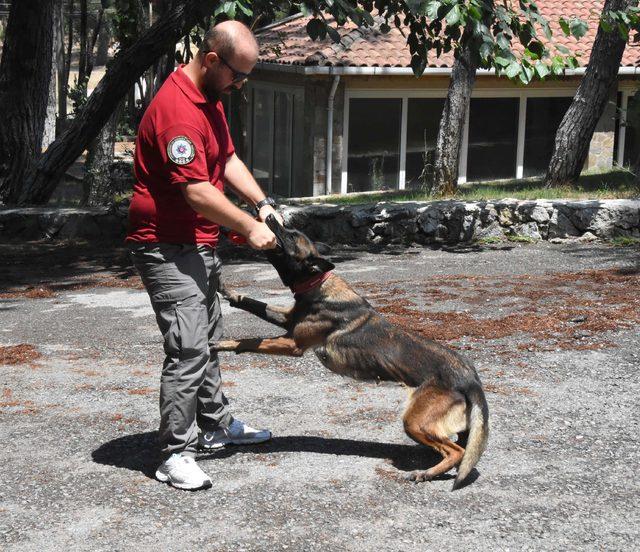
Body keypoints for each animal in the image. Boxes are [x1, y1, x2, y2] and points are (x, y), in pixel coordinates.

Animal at [212, 213, 488, 490]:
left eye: (290, 236)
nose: (268, 214)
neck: (317, 284)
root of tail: (470, 378)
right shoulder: (287, 320)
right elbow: (254, 303)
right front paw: (228, 291)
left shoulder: (293, 344)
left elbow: (250, 341)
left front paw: (222, 344)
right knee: (460, 447)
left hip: (414, 421)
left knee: (456, 452)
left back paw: (427, 473)